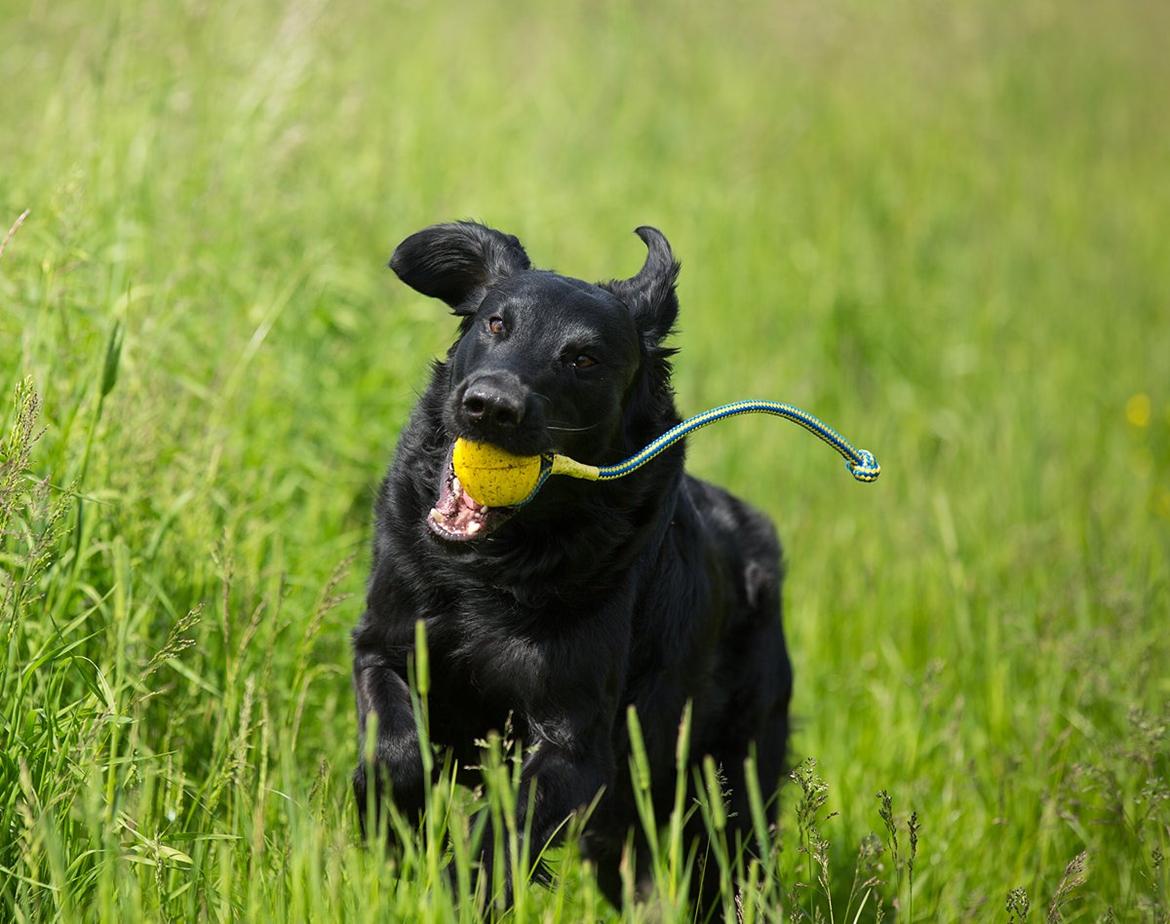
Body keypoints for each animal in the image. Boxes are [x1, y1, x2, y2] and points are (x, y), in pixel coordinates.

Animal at [351, 224, 795, 912]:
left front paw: (459, 893)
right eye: (496, 324)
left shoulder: (575, 743)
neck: (491, 569)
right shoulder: (384, 646)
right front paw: (399, 831)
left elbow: (506, 832)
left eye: (583, 359)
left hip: (728, 796)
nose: (490, 406)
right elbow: (394, 752)